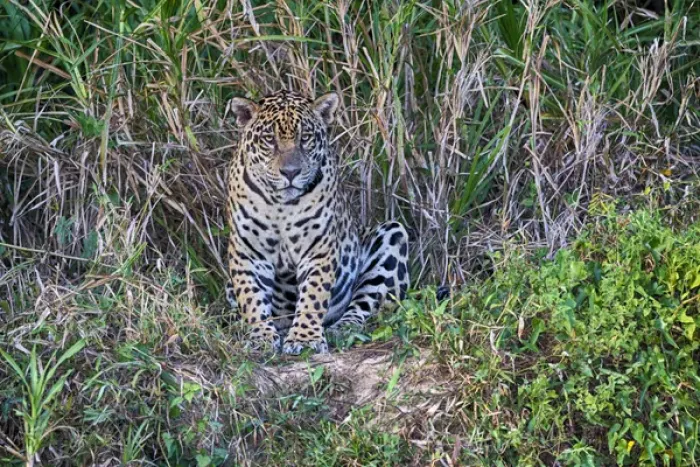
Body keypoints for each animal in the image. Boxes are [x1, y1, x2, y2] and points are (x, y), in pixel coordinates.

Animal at [225, 90, 409, 355]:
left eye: (305, 138)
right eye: (269, 139)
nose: (290, 172)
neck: (280, 205)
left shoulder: (318, 249)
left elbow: (313, 294)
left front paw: (304, 338)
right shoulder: (247, 251)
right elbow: (251, 297)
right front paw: (260, 336)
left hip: (392, 235)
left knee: (363, 304)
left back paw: (341, 329)